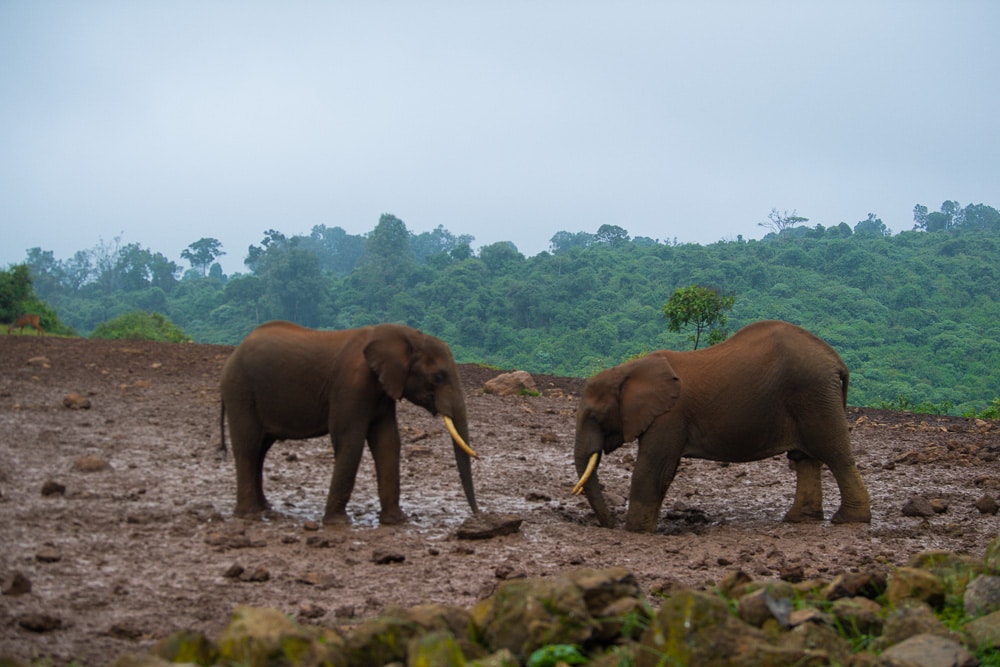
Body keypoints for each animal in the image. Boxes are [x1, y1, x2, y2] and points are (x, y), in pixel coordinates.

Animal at [218, 320, 480, 524]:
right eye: (438, 377)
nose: (478, 515)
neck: (405, 335)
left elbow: (388, 442)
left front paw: (396, 521)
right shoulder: (350, 385)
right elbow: (350, 440)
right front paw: (337, 522)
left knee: (260, 450)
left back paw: (265, 509)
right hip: (240, 390)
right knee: (248, 447)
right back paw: (250, 515)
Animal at [576, 320, 872, 536]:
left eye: (594, 416)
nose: (609, 525)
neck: (626, 370)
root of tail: (837, 361)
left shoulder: (669, 416)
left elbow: (653, 470)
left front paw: (635, 533)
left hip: (813, 394)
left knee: (835, 454)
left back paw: (848, 520)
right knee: (806, 458)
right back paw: (798, 520)